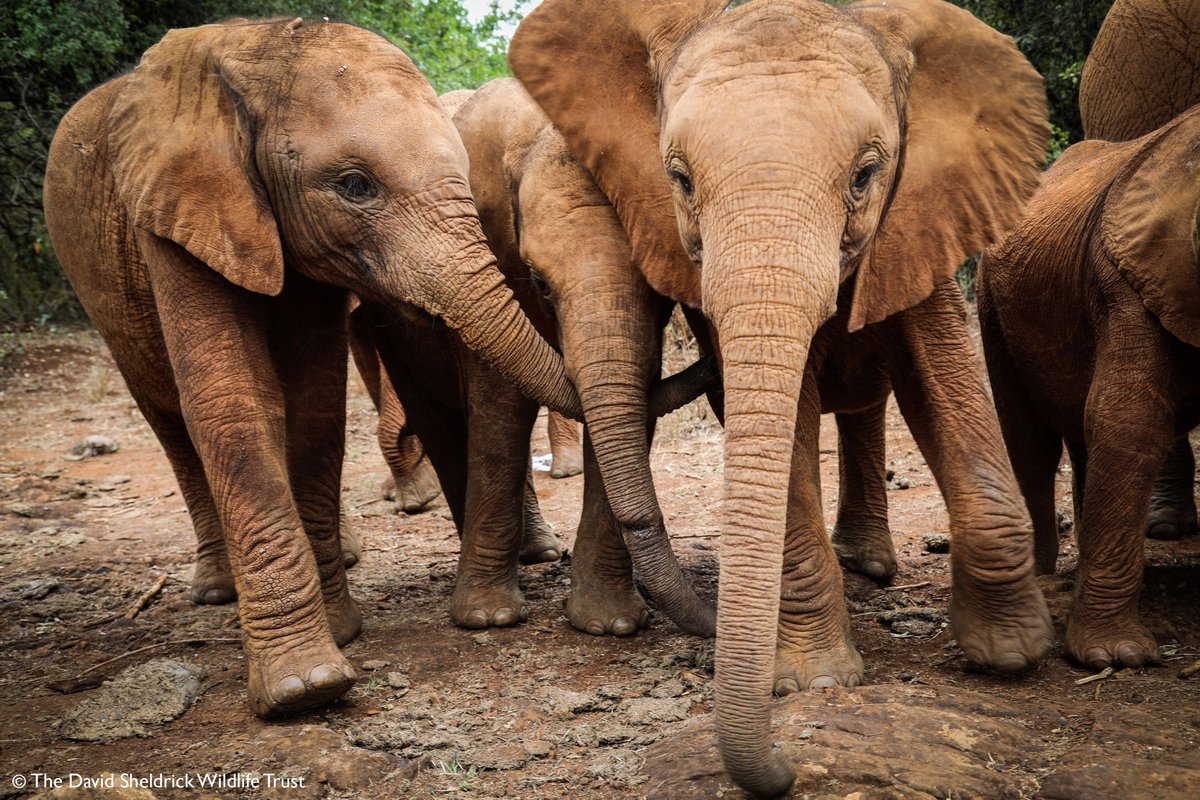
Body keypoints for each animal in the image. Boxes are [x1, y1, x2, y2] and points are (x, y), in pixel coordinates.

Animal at [42, 18, 579, 719]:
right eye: (355, 185)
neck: (256, 51)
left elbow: (316, 406)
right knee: (170, 423)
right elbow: (231, 406)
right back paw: (216, 593)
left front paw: (342, 634)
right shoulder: (176, 213)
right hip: (102, 296)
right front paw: (306, 688)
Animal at [510, 0, 1053, 794]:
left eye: (866, 174)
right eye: (679, 179)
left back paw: (872, 569)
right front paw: (815, 684)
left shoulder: (922, 215)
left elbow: (945, 377)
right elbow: (783, 416)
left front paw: (1011, 656)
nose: (786, 769)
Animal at [977, 105, 1200, 674]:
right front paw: (1118, 658)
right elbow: (1128, 422)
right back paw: (1040, 574)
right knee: (1031, 442)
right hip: (992, 301)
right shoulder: (1125, 279)